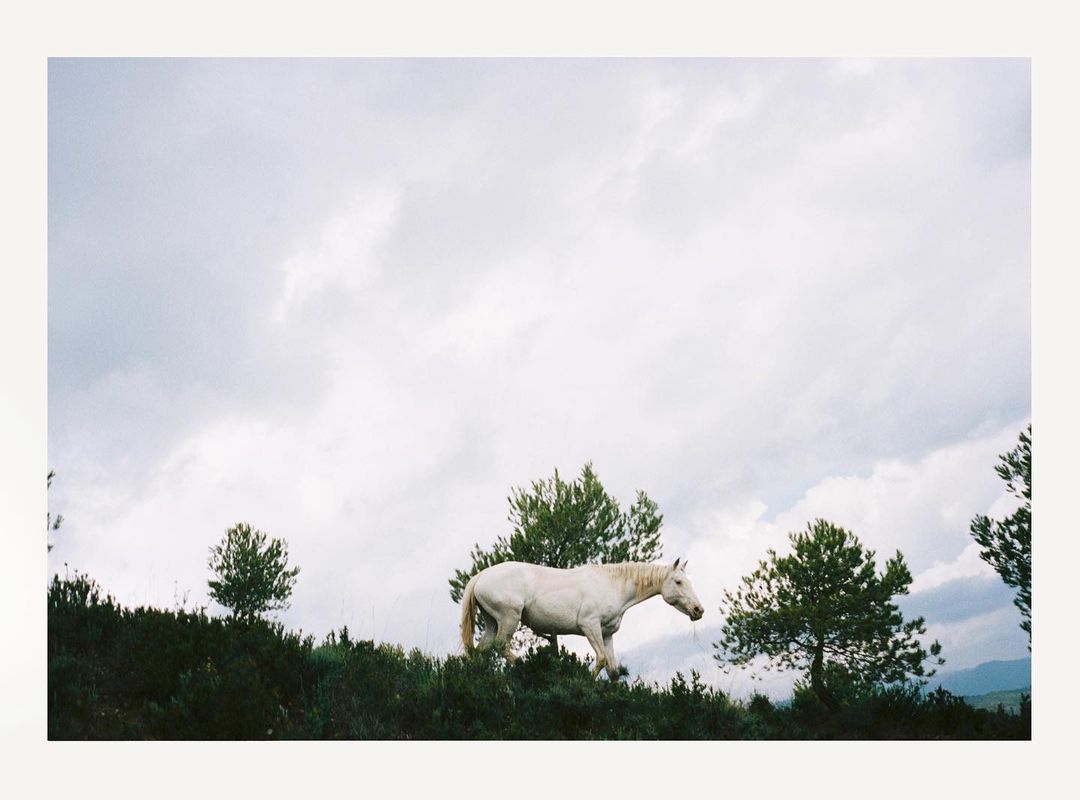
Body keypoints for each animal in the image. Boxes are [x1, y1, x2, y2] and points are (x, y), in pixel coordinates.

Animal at [459, 557, 704, 679]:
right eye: (678, 582)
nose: (698, 610)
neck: (611, 585)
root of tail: (481, 576)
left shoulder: (607, 634)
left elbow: (613, 670)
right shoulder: (590, 626)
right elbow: (602, 660)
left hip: (493, 622)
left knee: (481, 651)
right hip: (509, 618)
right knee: (501, 646)